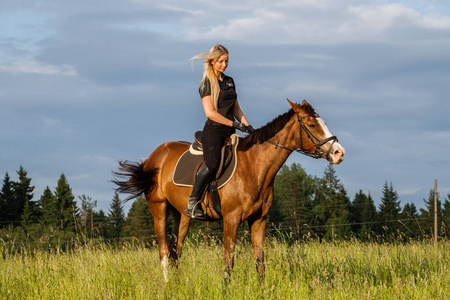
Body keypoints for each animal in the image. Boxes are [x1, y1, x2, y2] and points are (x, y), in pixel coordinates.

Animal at [112, 99, 344, 282]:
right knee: (163, 253)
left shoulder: (259, 219)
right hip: (159, 209)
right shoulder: (231, 219)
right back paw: (168, 286)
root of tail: (155, 155)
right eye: (312, 124)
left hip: (182, 216)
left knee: (175, 251)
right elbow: (228, 262)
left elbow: (259, 262)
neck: (255, 166)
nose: (338, 152)